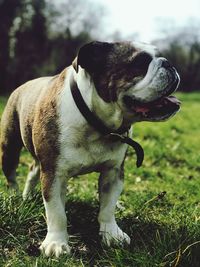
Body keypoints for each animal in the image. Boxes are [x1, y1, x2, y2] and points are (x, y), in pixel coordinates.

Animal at [0, 41, 180, 258]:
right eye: (139, 63)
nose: (169, 63)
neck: (96, 122)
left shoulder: (113, 172)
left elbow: (108, 207)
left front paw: (111, 234)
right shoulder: (53, 173)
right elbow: (56, 211)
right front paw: (56, 243)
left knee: (33, 170)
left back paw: (27, 196)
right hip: (9, 147)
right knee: (11, 174)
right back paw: (15, 197)